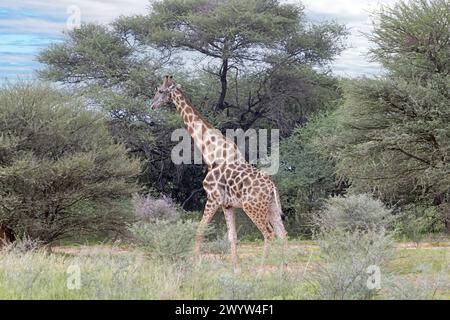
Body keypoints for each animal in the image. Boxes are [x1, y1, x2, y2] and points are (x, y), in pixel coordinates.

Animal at [149, 76, 286, 272]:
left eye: (160, 91)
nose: (152, 105)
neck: (211, 151)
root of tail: (272, 187)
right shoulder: (227, 205)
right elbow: (232, 236)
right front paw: (236, 268)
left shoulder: (213, 198)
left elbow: (200, 231)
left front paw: (195, 264)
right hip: (271, 207)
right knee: (283, 233)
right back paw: (284, 268)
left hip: (253, 208)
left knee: (269, 233)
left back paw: (261, 271)